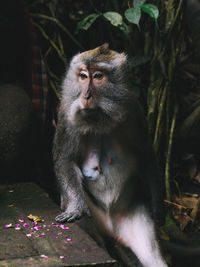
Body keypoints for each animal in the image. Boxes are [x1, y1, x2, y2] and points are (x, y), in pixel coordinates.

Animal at [52, 44, 168, 267]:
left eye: (98, 76)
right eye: (82, 76)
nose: (86, 96)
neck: (100, 117)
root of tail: (111, 228)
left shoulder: (133, 108)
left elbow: (146, 153)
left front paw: (158, 206)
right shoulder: (66, 113)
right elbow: (65, 160)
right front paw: (76, 208)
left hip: (131, 217)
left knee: (151, 257)